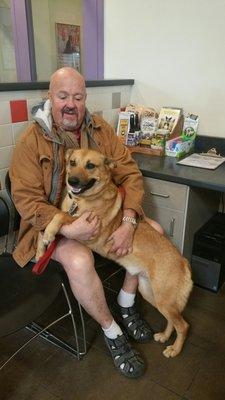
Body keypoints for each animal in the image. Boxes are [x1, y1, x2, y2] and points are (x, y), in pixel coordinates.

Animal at [36, 148, 192, 358]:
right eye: (72, 162)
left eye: (90, 165)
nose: (72, 181)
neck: (80, 200)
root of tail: (183, 261)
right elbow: (46, 226)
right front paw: (40, 251)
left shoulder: (88, 225)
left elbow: (60, 216)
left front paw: (50, 233)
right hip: (152, 294)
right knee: (171, 320)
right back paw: (164, 336)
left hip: (163, 299)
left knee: (183, 325)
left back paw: (175, 349)